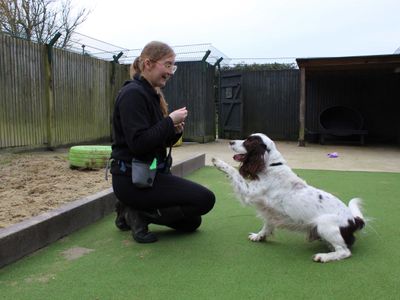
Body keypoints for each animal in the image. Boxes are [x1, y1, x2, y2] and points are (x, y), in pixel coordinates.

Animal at [212, 134, 366, 262]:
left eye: (249, 141)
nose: (231, 142)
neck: (271, 166)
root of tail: (353, 220)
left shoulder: (249, 192)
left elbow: (234, 172)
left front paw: (218, 162)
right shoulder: (270, 210)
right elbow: (267, 225)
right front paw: (258, 236)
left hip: (324, 224)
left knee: (344, 251)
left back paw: (324, 256)